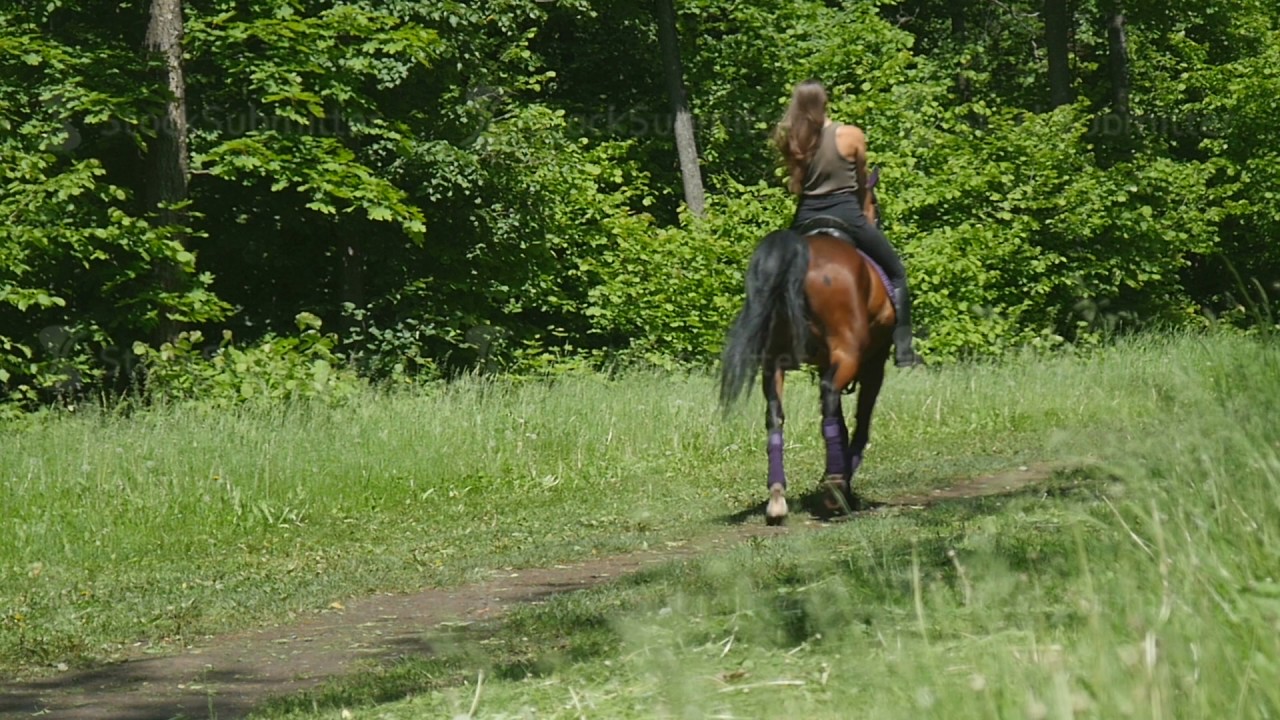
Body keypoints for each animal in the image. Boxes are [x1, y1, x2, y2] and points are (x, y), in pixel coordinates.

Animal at [718, 172, 895, 524]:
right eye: (875, 202)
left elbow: (839, 420)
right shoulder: (873, 363)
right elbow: (860, 421)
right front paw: (841, 484)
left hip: (774, 363)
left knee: (775, 415)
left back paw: (778, 498)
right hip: (848, 357)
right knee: (829, 400)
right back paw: (834, 490)